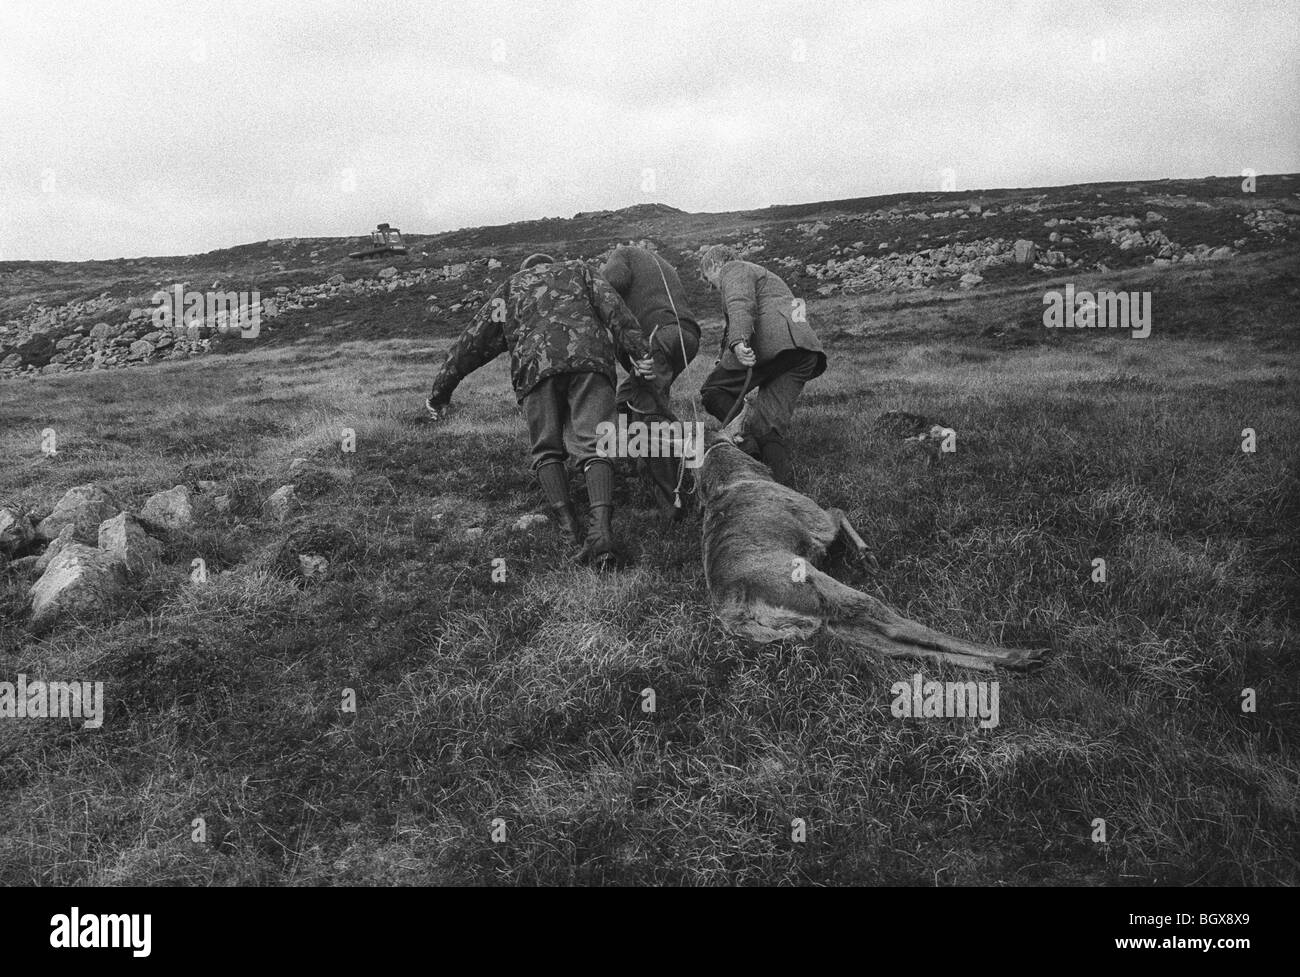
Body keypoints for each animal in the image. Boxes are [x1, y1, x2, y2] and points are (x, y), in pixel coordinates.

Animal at [702, 436, 1045, 670]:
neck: (734, 475)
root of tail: (741, 612)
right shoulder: (816, 520)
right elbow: (838, 510)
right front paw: (866, 554)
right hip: (819, 589)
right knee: (892, 622)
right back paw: (1019, 654)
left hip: (823, 622)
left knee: (890, 646)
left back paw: (997, 664)